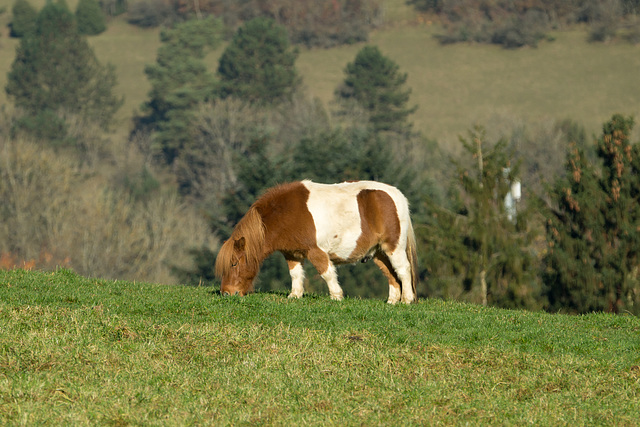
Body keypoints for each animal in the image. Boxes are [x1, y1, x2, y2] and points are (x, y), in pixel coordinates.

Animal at [215, 181, 420, 304]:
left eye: (234, 263)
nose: (226, 293)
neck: (286, 212)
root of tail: (396, 195)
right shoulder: (292, 253)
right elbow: (296, 274)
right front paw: (294, 295)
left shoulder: (315, 251)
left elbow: (327, 273)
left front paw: (336, 296)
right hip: (378, 253)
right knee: (391, 274)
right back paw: (392, 301)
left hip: (393, 248)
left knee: (403, 270)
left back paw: (407, 299)